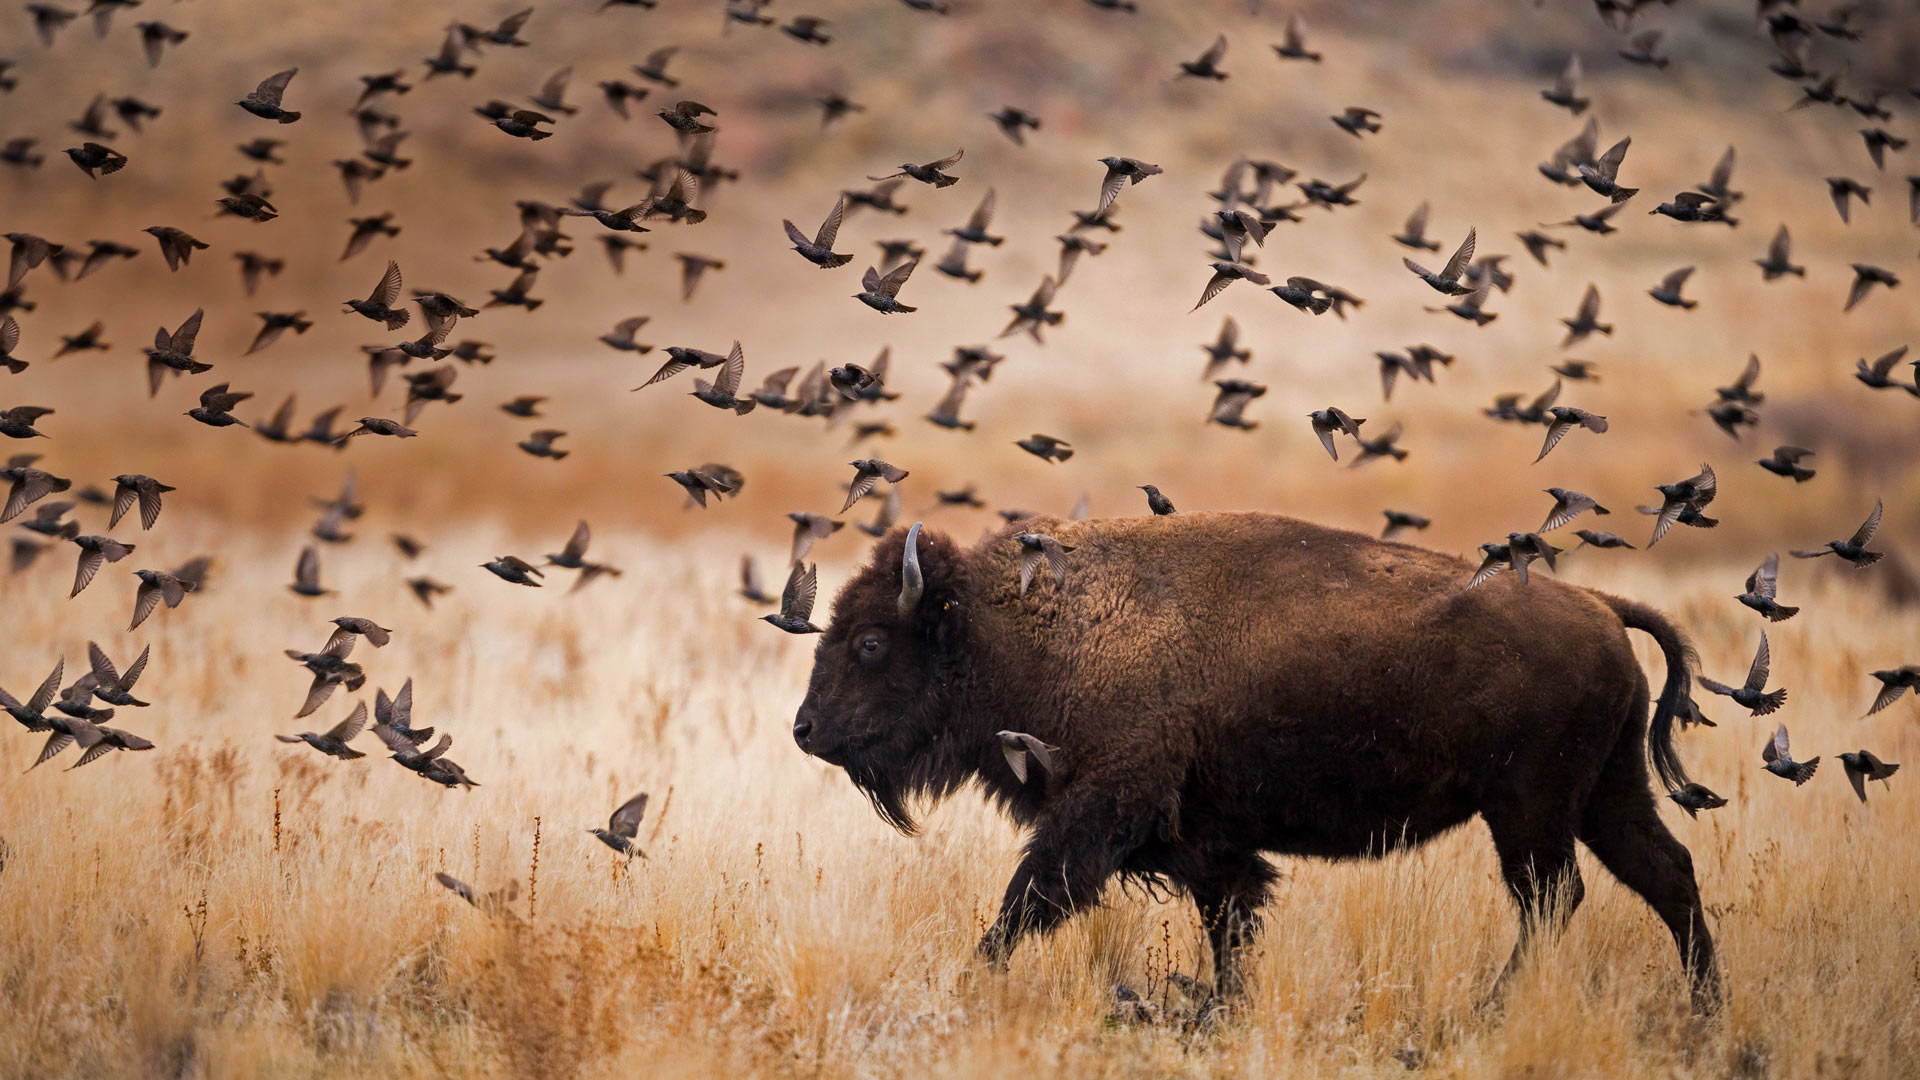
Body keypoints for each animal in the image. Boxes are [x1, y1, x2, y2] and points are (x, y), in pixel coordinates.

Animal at [794, 511, 1728, 1006]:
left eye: (872, 641)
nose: (805, 730)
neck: (1017, 629)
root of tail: (1599, 605)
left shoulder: (1102, 808)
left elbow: (1028, 899)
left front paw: (972, 981)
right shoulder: (1205, 841)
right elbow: (1230, 921)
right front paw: (1223, 1006)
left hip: (1530, 810)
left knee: (1555, 897)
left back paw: (1493, 1009)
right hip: (1604, 795)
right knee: (1665, 874)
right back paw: (1704, 1011)